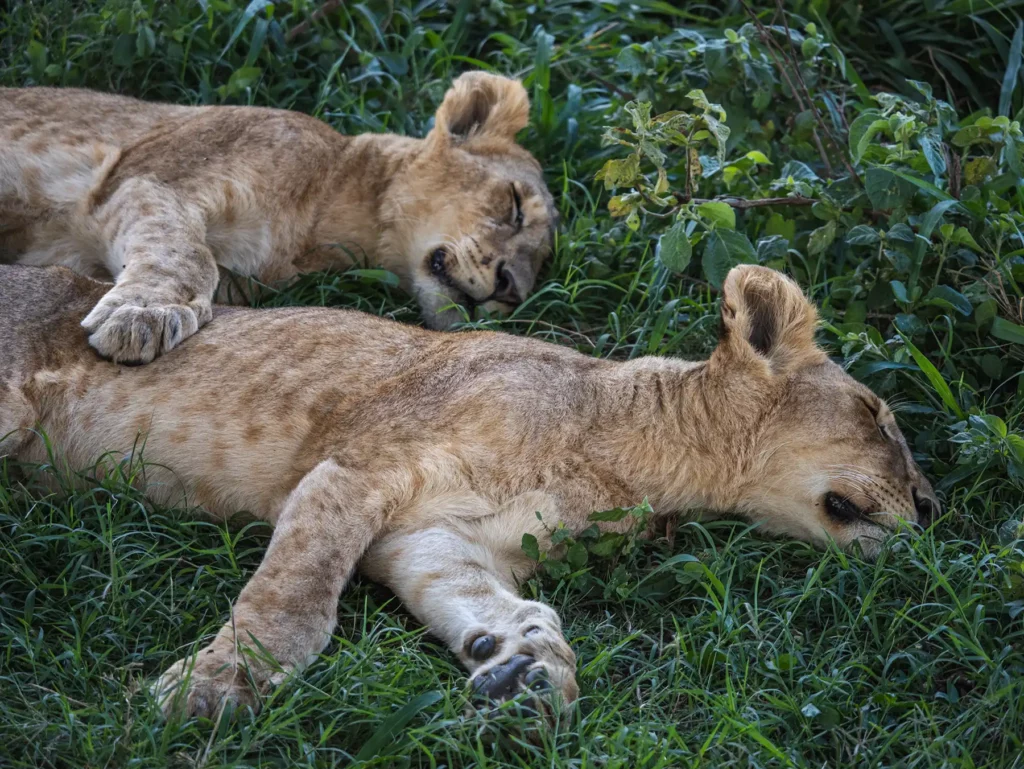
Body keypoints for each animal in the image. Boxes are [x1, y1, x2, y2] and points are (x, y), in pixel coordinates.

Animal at [0, 72, 555, 363]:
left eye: (540, 264)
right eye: (513, 205)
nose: (510, 291)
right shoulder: (147, 178)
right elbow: (184, 253)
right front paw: (143, 316)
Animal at [0, 264, 939, 720]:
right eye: (879, 415)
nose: (933, 508)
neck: (629, 455)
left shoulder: (435, 537)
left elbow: (496, 603)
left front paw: (526, 670)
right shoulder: (356, 468)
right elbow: (294, 601)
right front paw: (212, 689)